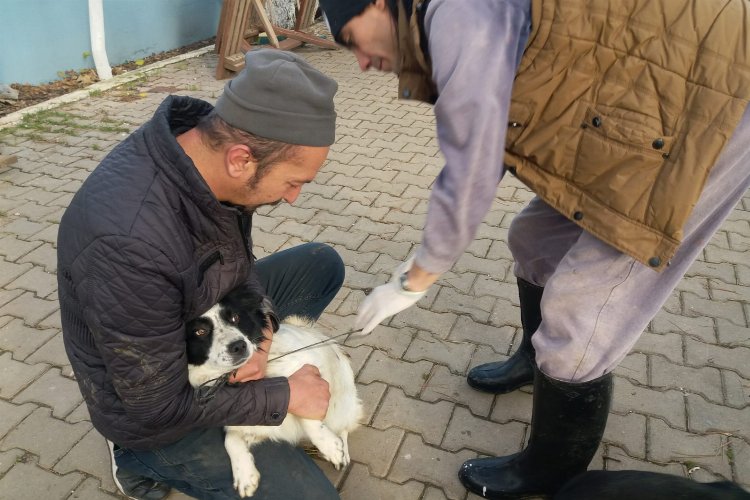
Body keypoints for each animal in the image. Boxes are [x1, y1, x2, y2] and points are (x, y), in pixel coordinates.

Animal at [187, 284, 364, 498]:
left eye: (235, 318)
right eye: (200, 331)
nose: (239, 345)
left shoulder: (311, 371)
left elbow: (308, 410)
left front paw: (330, 447)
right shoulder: (251, 424)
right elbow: (230, 440)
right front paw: (244, 474)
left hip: (341, 403)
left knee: (344, 426)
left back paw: (342, 451)